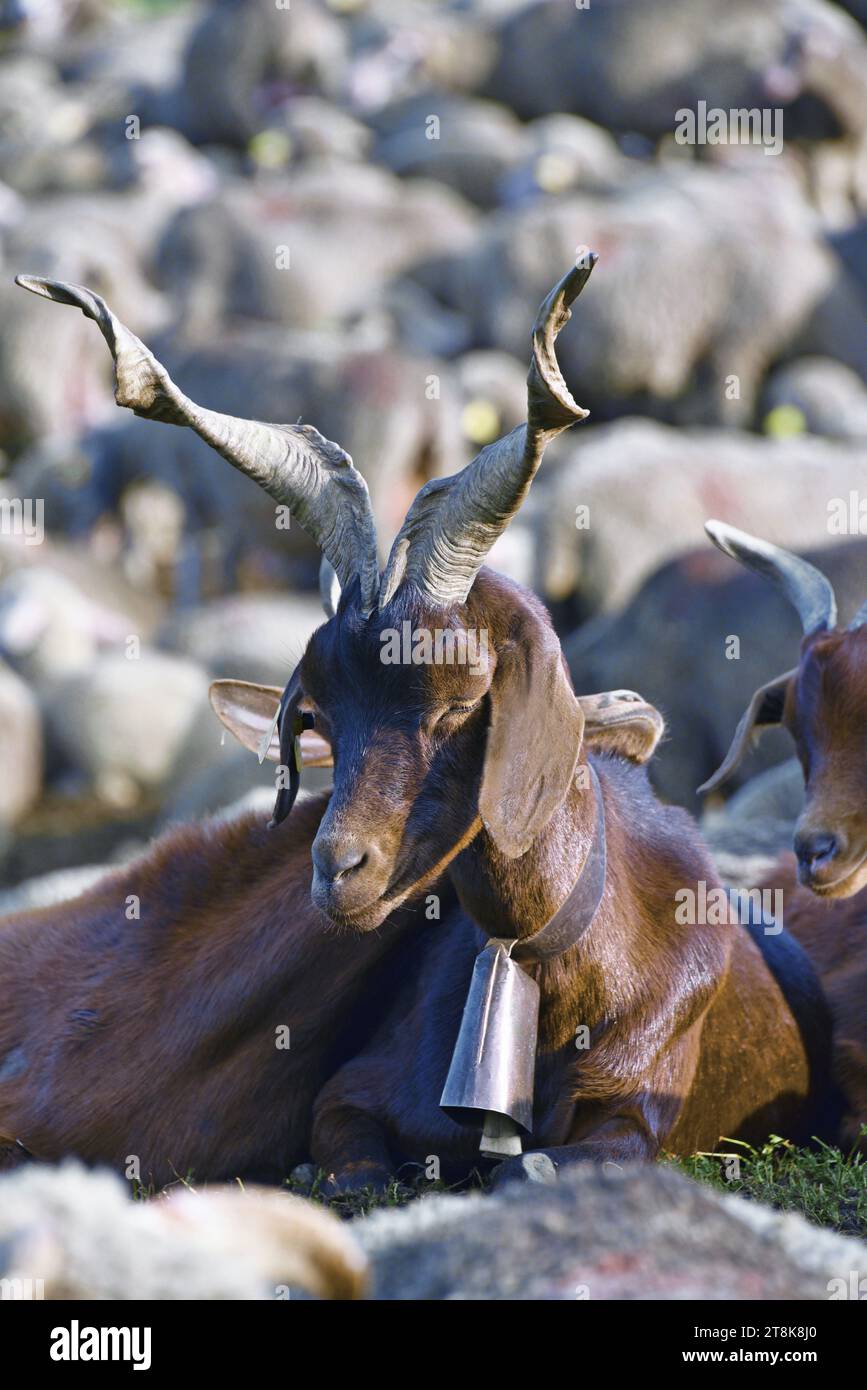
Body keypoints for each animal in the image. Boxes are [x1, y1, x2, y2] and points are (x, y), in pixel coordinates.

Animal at [0, 265, 839, 1189]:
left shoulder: (636, 1111)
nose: (338, 871)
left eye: (464, 699)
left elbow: (536, 1167)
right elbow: (357, 1163)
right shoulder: (352, 1096)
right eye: (321, 714)